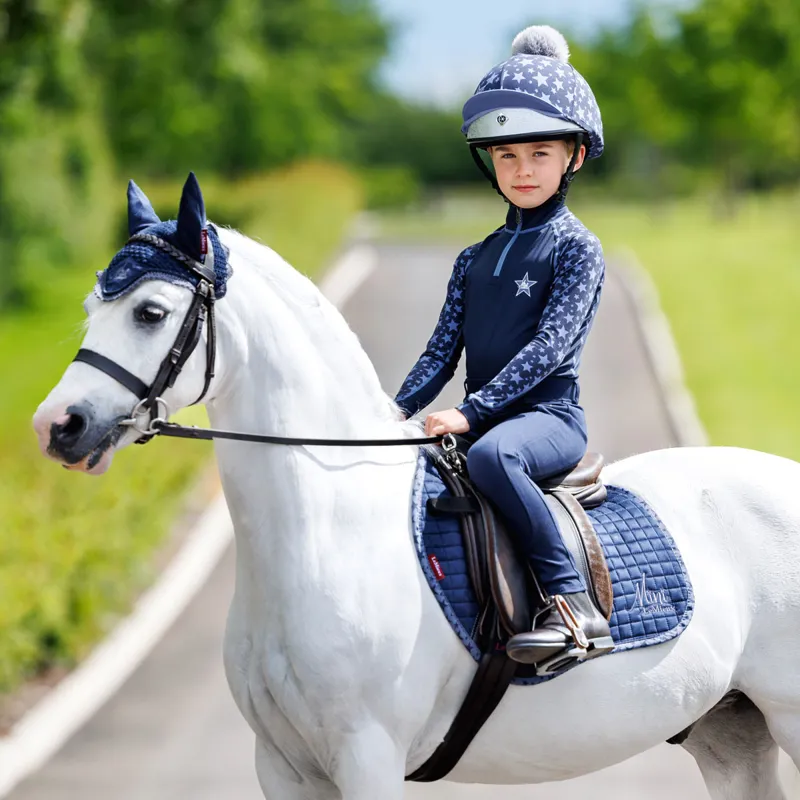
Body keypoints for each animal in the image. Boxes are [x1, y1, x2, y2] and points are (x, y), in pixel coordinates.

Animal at [34, 189, 800, 800]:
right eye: (92, 308)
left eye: (150, 312)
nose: (57, 426)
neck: (325, 532)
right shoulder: (283, 767)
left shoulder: (367, 761)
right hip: (732, 730)